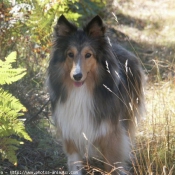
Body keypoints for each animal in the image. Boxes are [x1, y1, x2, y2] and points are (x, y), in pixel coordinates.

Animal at [47, 14, 145, 174]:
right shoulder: (70, 130)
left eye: (88, 55)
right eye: (70, 54)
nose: (77, 76)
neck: (82, 91)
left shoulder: (112, 135)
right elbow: (75, 163)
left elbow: (112, 165)